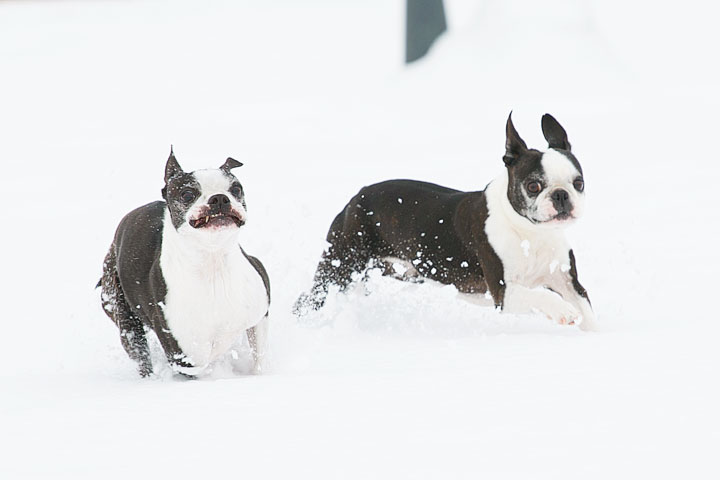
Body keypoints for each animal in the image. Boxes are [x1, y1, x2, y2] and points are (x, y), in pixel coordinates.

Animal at [100, 149, 272, 376]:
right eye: (187, 194)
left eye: (236, 189)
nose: (219, 198)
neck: (213, 259)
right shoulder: (185, 358)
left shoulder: (261, 314)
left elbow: (259, 357)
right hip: (124, 315)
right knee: (140, 353)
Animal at [292, 113, 596, 330]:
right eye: (533, 186)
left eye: (579, 183)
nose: (561, 195)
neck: (531, 233)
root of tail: (356, 197)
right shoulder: (503, 292)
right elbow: (543, 297)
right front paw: (563, 312)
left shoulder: (569, 282)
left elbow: (587, 311)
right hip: (340, 265)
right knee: (310, 298)